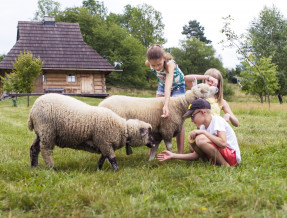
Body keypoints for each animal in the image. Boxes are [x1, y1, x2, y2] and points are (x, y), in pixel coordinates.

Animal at [27, 93, 155, 170]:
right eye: (148, 133)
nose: (154, 142)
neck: (123, 129)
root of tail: (33, 109)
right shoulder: (105, 142)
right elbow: (112, 158)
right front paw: (117, 170)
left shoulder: (104, 144)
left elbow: (103, 157)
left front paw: (98, 168)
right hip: (47, 131)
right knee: (45, 150)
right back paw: (52, 167)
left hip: (41, 133)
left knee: (34, 148)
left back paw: (34, 166)